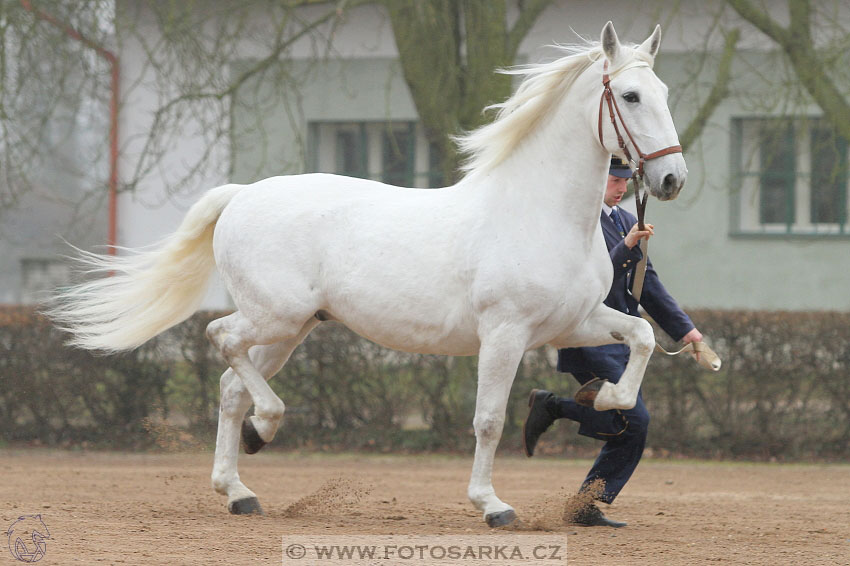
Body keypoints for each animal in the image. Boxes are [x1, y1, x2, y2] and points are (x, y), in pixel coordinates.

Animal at [51, 22, 684, 528]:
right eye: (630, 95)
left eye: (665, 93)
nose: (672, 179)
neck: (540, 214)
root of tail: (241, 195)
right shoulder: (504, 335)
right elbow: (488, 420)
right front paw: (493, 506)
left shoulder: (570, 323)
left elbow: (642, 337)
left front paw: (603, 397)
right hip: (274, 316)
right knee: (219, 339)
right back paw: (264, 430)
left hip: (292, 329)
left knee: (231, 387)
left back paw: (240, 490)